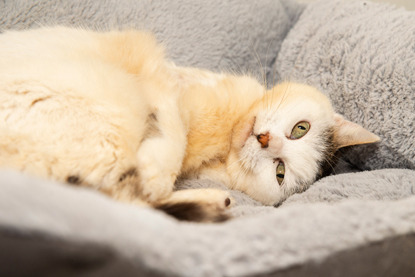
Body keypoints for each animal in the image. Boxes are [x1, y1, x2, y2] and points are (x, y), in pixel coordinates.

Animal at [0, 27, 380, 221]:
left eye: (279, 172)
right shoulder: (163, 82)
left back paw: (213, 203)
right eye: (301, 129)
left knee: (118, 203)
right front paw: (157, 169)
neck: (221, 148)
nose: (265, 139)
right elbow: (175, 132)